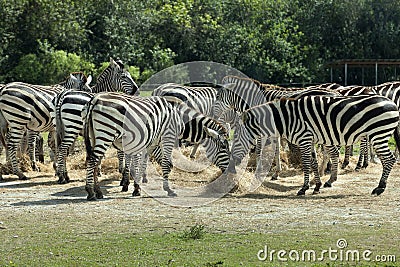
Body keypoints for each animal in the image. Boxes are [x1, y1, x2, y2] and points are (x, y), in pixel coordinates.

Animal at [82, 93, 228, 200]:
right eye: (223, 147)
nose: (229, 170)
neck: (180, 120)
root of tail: (94, 99)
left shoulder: (151, 143)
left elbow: (142, 164)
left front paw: (137, 188)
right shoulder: (168, 137)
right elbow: (166, 164)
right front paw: (169, 190)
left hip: (94, 136)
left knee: (93, 160)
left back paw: (98, 192)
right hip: (106, 133)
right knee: (92, 160)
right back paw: (90, 192)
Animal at [228, 94, 400, 197]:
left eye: (236, 138)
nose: (232, 164)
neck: (287, 119)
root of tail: (393, 103)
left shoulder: (304, 138)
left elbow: (306, 164)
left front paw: (304, 188)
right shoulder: (309, 140)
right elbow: (313, 163)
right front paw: (317, 186)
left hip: (379, 134)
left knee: (389, 159)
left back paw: (380, 188)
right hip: (378, 135)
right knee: (387, 160)